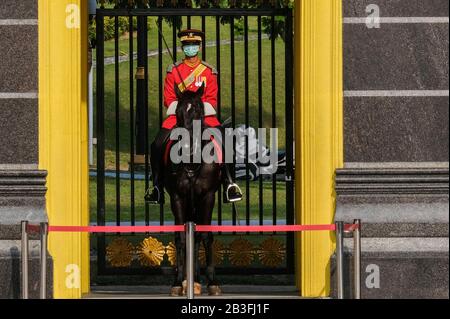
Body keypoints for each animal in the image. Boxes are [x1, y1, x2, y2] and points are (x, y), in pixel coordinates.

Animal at [164, 84, 222, 298]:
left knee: (196, 236)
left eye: (197, 109)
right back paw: (190, 280)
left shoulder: (208, 196)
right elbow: (182, 238)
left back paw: (196, 280)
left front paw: (213, 282)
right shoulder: (177, 197)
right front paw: (178, 282)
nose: (186, 144)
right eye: (178, 112)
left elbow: (204, 235)